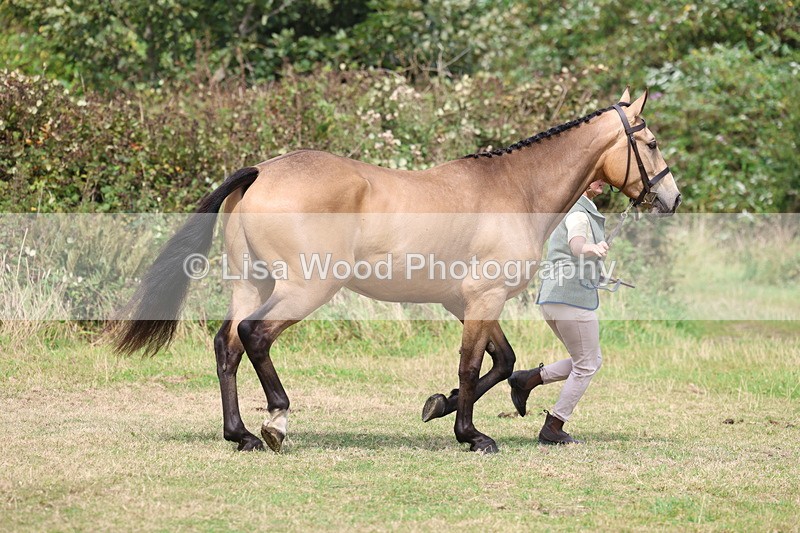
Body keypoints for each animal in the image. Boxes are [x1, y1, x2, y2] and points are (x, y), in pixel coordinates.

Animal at [113, 88, 681, 454]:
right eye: (651, 144)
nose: (671, 199)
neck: (515, 190)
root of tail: (262, 172)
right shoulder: (484, 297)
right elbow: (472, 367)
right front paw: (472, 435)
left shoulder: (466, 302)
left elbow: (501, 363)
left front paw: (441, 406)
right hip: (304, 288)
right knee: (254, 335)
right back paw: (276, 420)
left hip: (251, 282)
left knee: (226, 345)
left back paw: (242, 435)